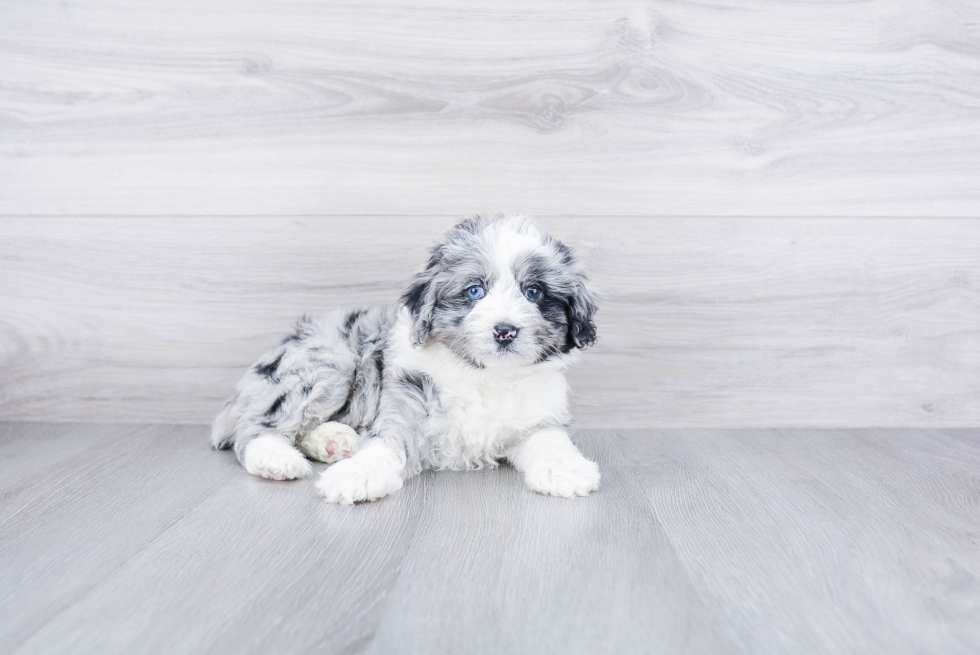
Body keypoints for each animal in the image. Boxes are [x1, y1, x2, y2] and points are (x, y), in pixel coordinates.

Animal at [212, 213, 600, 504]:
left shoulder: (539, 417)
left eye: (534, 292)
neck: (485, 376)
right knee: (257, 426)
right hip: (329, 363)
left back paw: (336, 442)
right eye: (475, 290)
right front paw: (356, 476)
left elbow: (552, 441)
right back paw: (277, 459)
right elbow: (384, 444)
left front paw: (568, 470)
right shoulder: (404, 407)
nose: (505, 331)